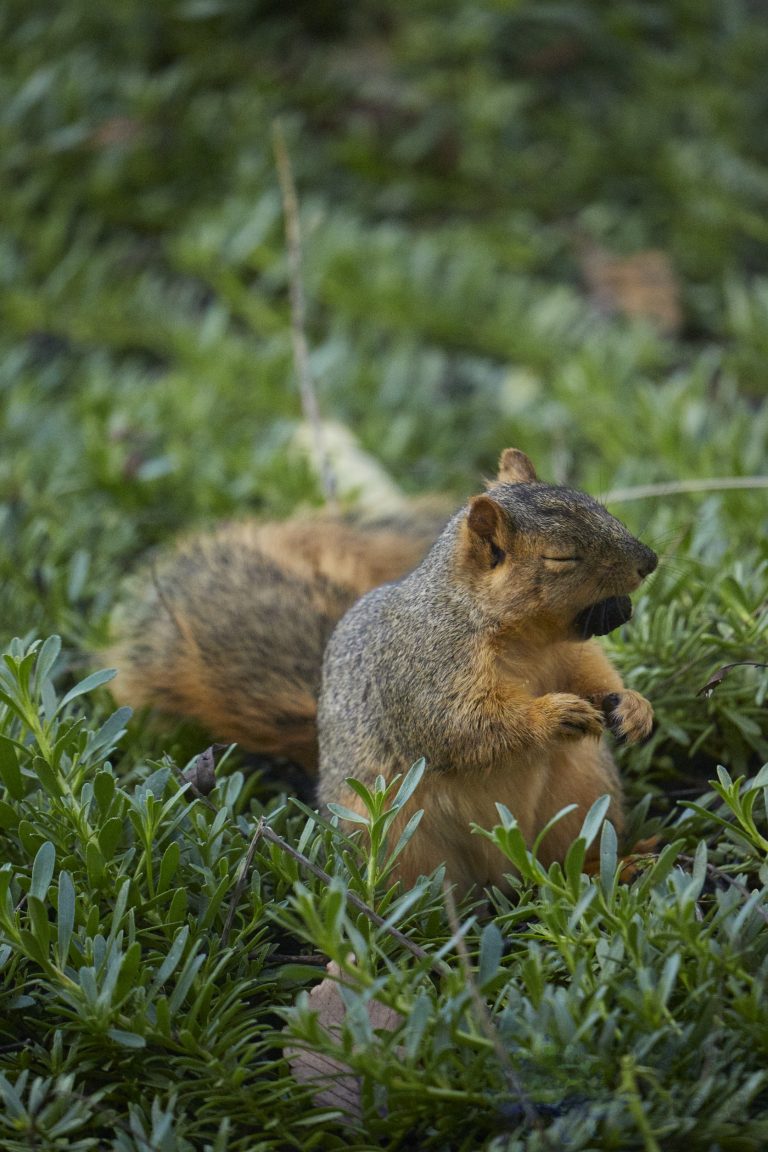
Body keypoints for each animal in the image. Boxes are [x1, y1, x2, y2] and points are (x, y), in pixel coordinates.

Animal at [317, 448, 657, 893]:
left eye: (595, 505)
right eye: (562, 558)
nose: (650, 561)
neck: (530, 640)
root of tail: (503, 869)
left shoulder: (572, 655)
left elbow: (595, 675)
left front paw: (634, 707)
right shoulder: (428, 667)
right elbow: (464, 723)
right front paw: (554, 714)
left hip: (582, 792)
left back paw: (609, 868)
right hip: (398, 839)